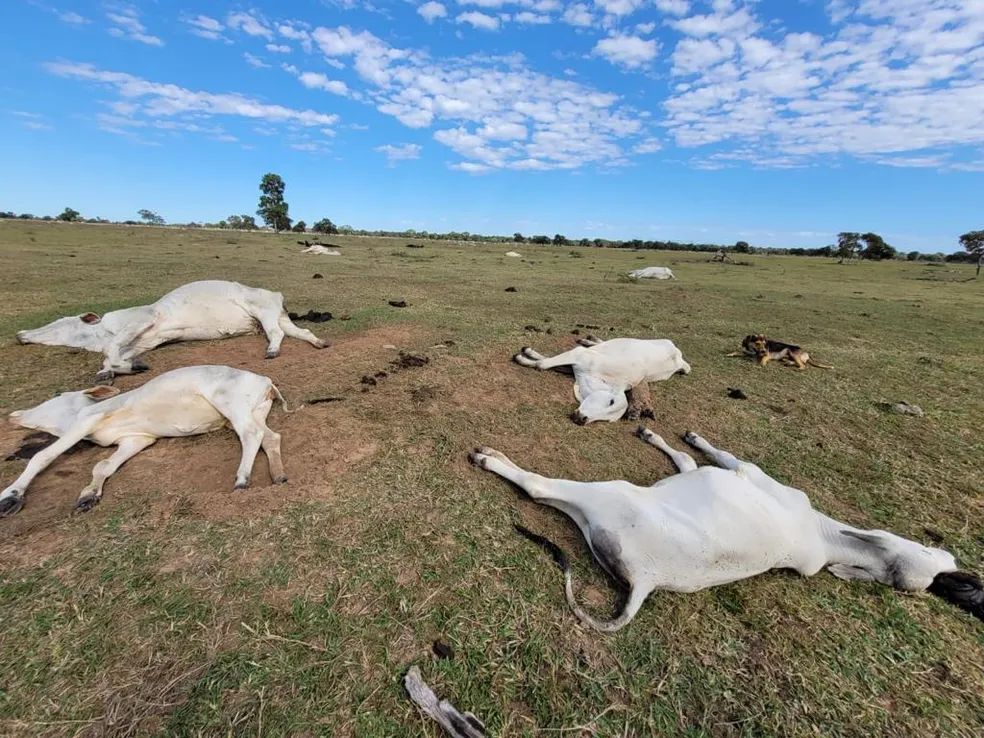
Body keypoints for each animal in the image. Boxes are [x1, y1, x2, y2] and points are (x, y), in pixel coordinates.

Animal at [0, 364, 290, 516]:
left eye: (57, 396)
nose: (13, 415)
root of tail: (265, 380)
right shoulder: (137, 439)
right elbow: (103, 465)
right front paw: (88, 495)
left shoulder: (88, 420)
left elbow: (42, 456)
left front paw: (10, 496)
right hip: (254, 411)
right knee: (270, 437)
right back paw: (278, 475)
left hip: (230, 404)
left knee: (251, 435)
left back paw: (242, 479)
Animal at [15, 278, 328, 380]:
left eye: (59, 323)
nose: (20, 335)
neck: (101, 332)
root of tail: (276, 294)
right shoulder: (142, 342)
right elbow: (115, 357)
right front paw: (113, 371)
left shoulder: (144, 319)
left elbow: (113, 350)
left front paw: (122, 368)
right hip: (276, 316)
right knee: (299, 333)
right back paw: (319, 343)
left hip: (264, 313)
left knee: (277, 334)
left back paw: (272, 351)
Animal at [470, 428, 984, 628]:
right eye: (939, 558)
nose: (963, 579)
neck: (824, 536)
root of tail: (647, 581)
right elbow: (685, 460)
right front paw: (659, 435)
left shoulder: (746, 471)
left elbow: (709, 455)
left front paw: (687, 436)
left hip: (607, 494)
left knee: (539, 489)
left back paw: (490, 458)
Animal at [516, 334, 692, 422]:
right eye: (611, 401)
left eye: (608, 420)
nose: (583, 419)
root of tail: (679, 359)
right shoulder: (579, 355)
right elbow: (543, 363)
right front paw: (523, 355)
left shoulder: (574, 365)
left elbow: (546, 362)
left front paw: (526, 356)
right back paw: (588, 339)